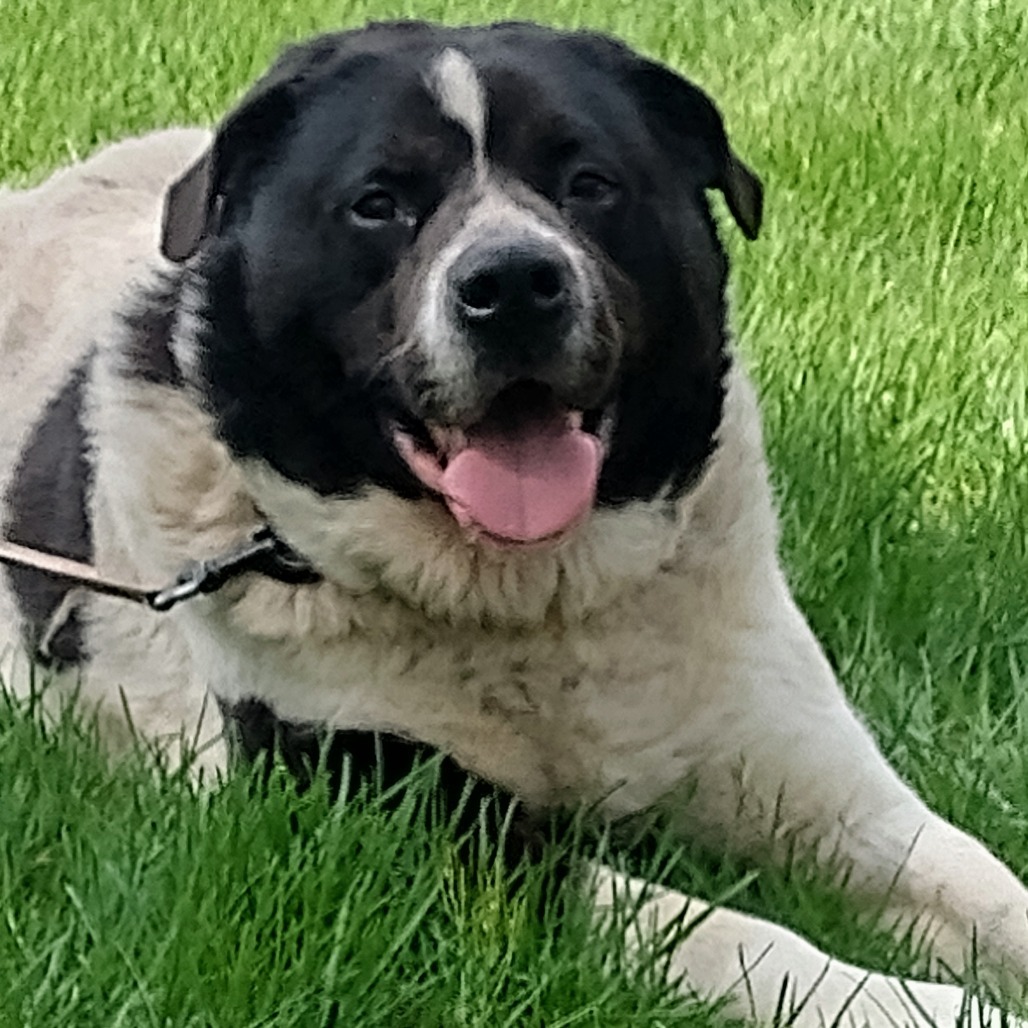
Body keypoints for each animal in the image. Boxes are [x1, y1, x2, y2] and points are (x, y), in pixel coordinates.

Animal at [2, 20, 1028, 1023]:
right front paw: (935, 1006)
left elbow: (978, 882)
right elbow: (724, 936)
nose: (513, 283)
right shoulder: (386, 821)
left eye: (591, 183)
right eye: (378, 202)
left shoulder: (818, 779)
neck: (533, 605)